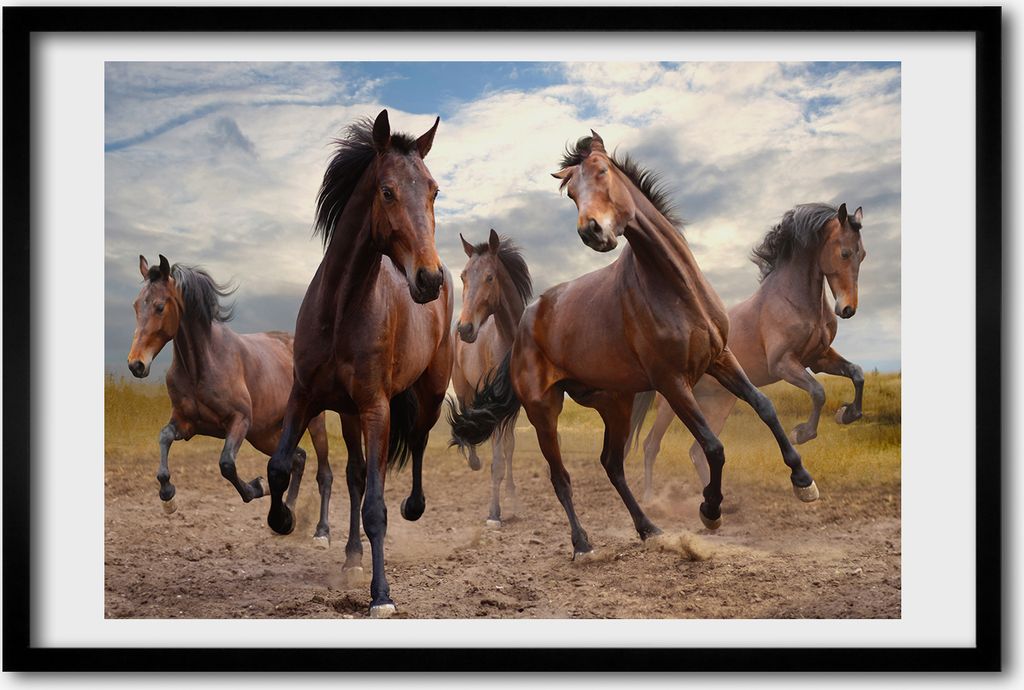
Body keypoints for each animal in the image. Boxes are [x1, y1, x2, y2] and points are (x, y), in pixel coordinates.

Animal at [127, 255, 333, 546]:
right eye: (136, 305)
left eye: (159, 306)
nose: (136, 364)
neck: (203, 364)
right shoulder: (187, 424)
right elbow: (164, 437)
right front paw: (168, 497)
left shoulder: (239, 422)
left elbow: (226, 464)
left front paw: (257, 486)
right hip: (264, 434)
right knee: (298, 459)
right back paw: (286, 516)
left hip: (312, 422)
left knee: (323, 473)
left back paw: (321, 533)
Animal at [263, 110, 453, 618]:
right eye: (387, 191)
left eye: (433, 191)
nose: (429, 279)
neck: (341, 309)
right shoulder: (305, 396)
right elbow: (280, 466)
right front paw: (283, 519)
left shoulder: (376, 408)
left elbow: (376, 507)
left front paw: (381, 595)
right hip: (347, 414)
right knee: (353, 476)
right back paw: (351, 555)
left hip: (425, 396)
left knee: (416, 445)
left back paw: (413, 507)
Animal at [450, 229, 533, 527]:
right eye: (463, 276)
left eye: (490, 277)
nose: (465, 328)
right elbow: (497, 459)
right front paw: (494, 513)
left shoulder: (515, 405)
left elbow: (509, 450)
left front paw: (514, 502)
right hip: (463, 389)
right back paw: (473, 460)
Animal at [640, 203, 867, 500]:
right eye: (844, 253)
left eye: (863, 254)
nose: (848, 309)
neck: (793, 300)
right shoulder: (784, 364)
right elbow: (818, 392)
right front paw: (801, 434)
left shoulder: (818, 359)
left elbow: (857, 373)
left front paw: (847, 414)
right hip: (672, 404)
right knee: (651, 445)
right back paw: (649, 498)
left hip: (719, 404)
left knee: (696, 452)